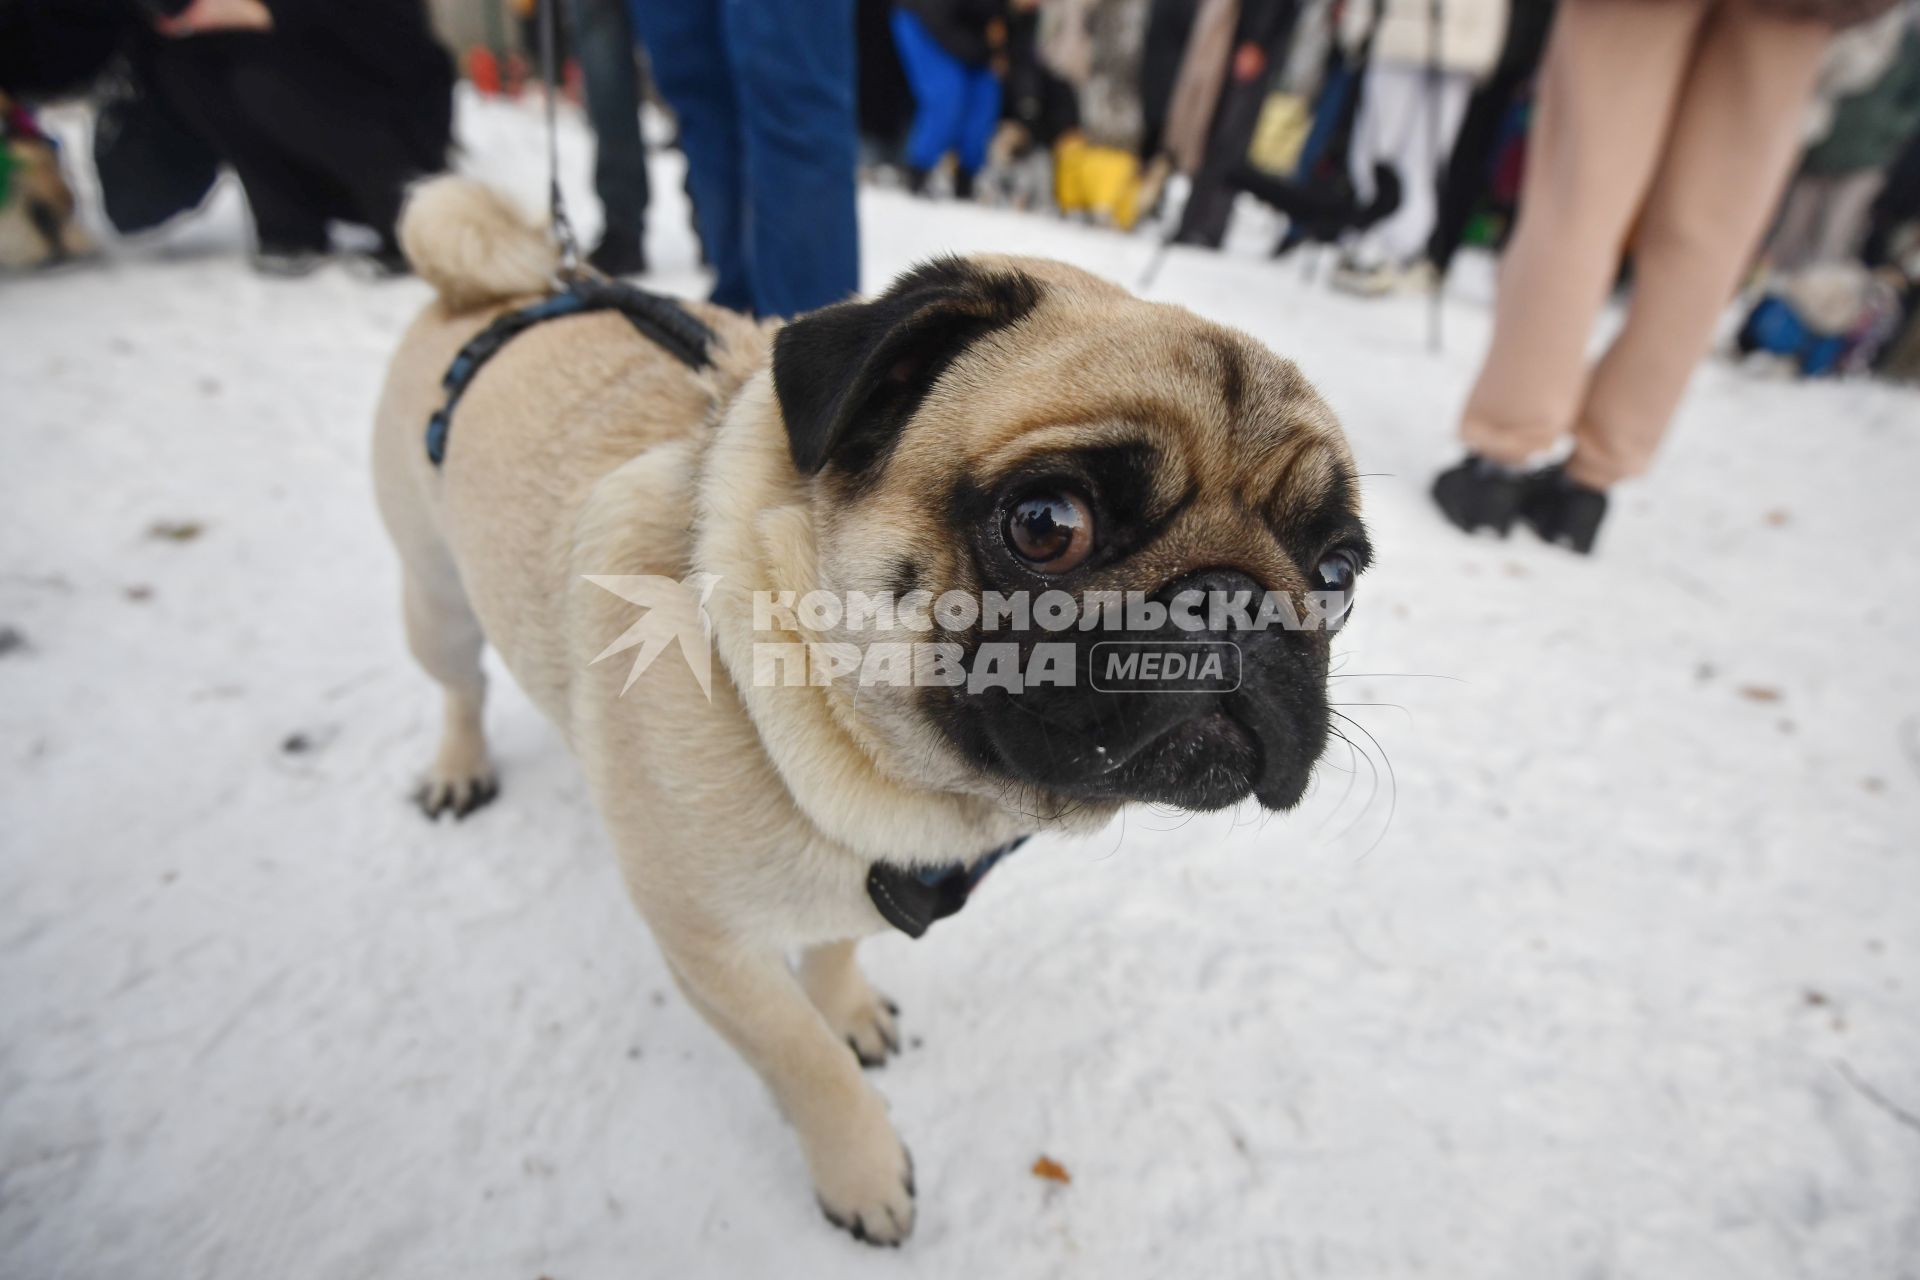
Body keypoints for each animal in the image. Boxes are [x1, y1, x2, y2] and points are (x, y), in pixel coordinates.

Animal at [374, 177, 1367, 1243]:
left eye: (1337, 575)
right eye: (1046, 525)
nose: (1236, 602)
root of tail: (502, 290)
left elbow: (838, 946)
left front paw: (847, 1007)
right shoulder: (709, 946)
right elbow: (804, 1061)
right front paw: (863, 1172)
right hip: (434, 598)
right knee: (461, 686)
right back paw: (458, 769)